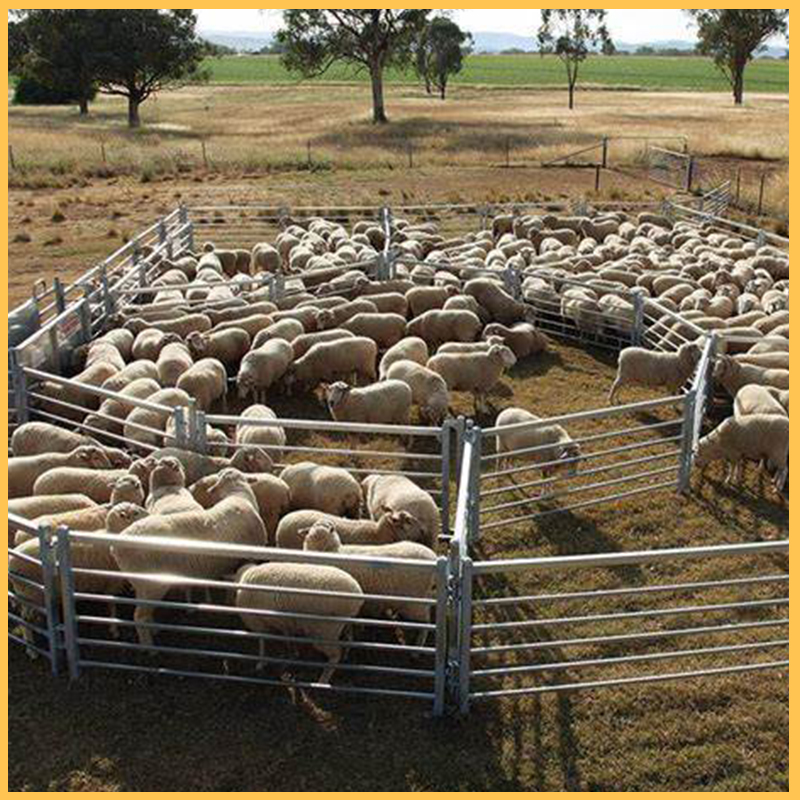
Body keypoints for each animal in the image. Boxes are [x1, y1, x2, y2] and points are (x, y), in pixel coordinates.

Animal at [112, 469, 267, 646]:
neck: (238, 495)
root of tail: (116, 545)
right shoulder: (248, 558)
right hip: (152, 584)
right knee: (139, 617)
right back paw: (149, 646)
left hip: (141, 584)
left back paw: (154, 630)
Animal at [233, 561, 363, 685]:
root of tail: (358, 594)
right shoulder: (284, 621)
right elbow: (288, 636)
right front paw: (293, 652)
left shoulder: (257, 622)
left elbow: (262, 642)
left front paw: (261, 663)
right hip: (342, 623)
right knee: (349, 638)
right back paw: (346, 655)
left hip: (324, 630)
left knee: (335, 654)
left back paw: (323, 680)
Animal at [303, 523, 436, 644]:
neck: (331, 551)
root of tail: (433, 556)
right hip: (422, 597)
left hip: (415, 603)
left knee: (426, 624)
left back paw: (418, 644)